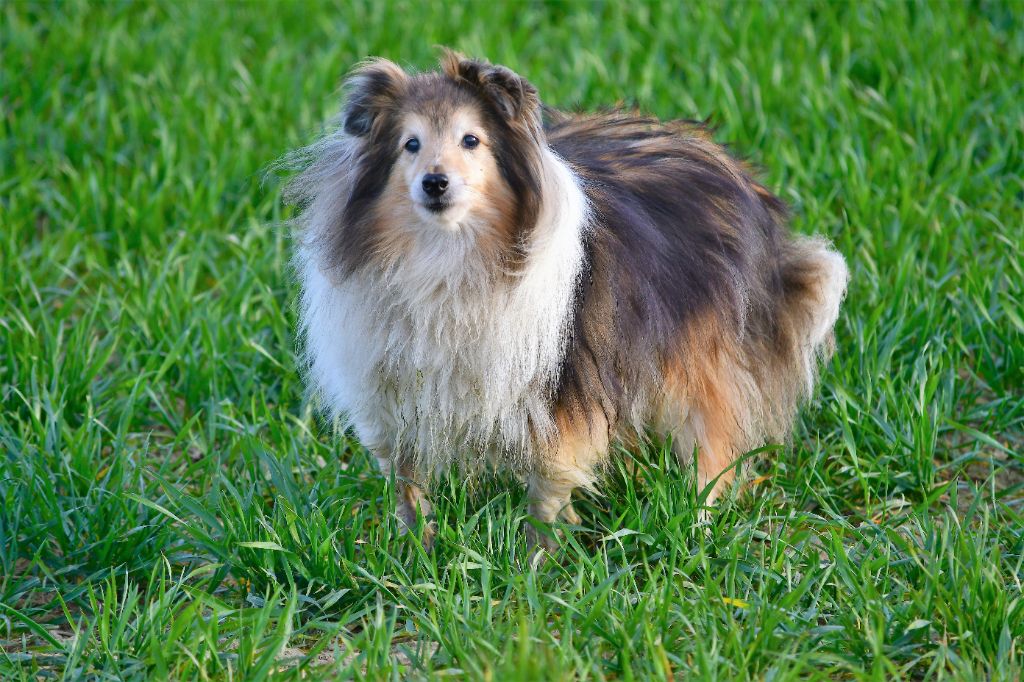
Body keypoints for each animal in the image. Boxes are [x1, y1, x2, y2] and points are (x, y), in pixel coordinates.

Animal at [286, 50, 847, 548]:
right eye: (410, 144)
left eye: (471, 140)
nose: (435, 183)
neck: (449, 257)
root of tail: (736, 171)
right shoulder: (394, 388)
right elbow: (406, 478)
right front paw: (415, 547)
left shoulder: (563, 385)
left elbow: (550, 480)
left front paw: (539, 557)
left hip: (702, 354)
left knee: (715, 440)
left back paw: (696, 522)